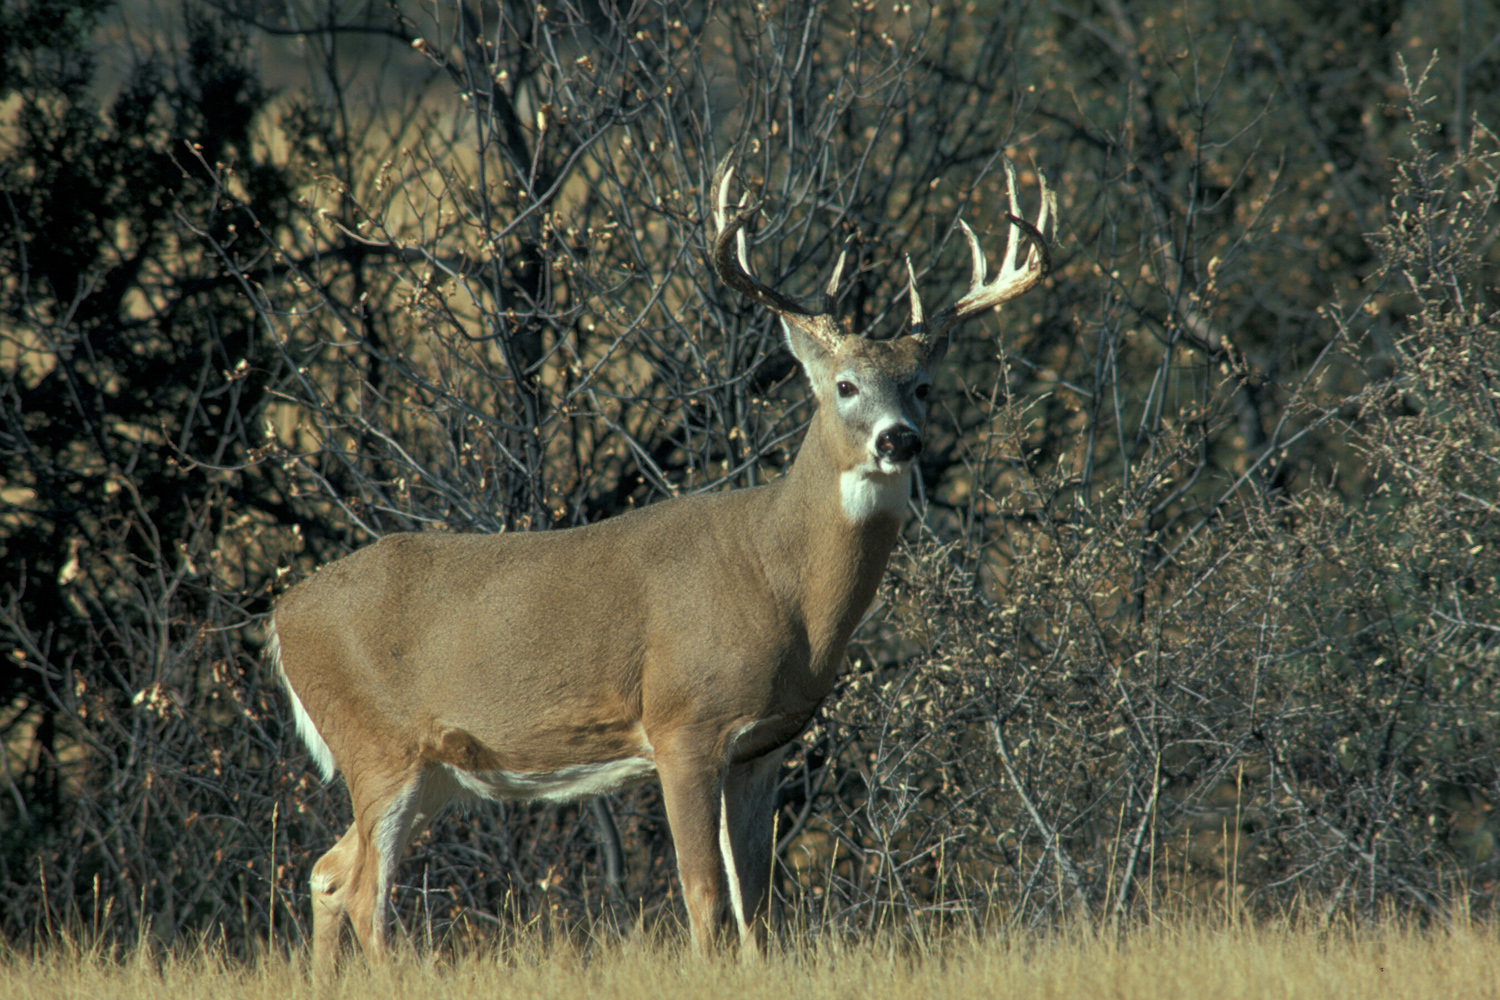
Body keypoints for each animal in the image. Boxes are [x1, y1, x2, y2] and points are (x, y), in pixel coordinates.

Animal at [270, 154, 1050, 971]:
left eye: (923, 386)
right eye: (844, 385)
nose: (900, 439)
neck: (779, 578)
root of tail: (280, 617)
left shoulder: (764, 747)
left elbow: (757, 901)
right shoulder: (683, 723)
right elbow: (702, 892)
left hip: (433, 771)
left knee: (328, 870)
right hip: (377, 742)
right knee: (365, 888)